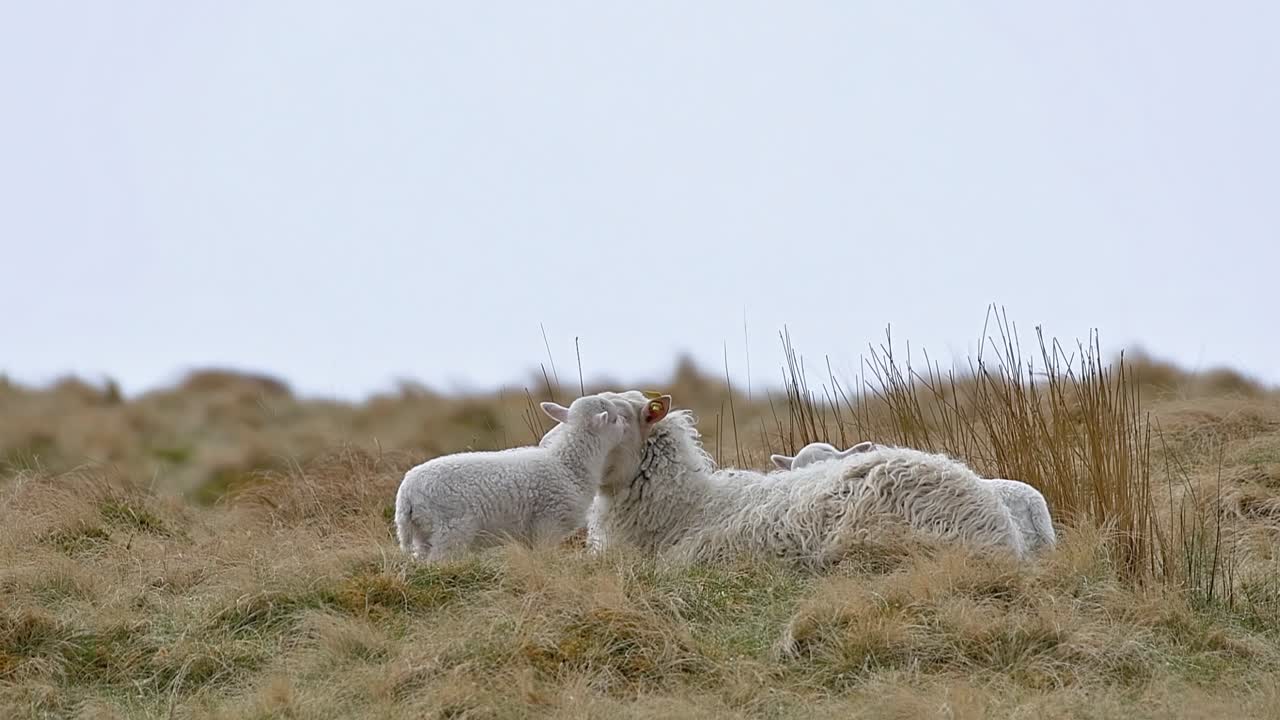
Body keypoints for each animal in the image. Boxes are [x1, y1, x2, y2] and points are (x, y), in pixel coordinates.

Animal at [394, 391, 672, 562]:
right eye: (615, 419)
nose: (626, 426)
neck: (568, 462)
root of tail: (406, 496)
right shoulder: (548, 524)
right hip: (449, 530)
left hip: (422, 533)